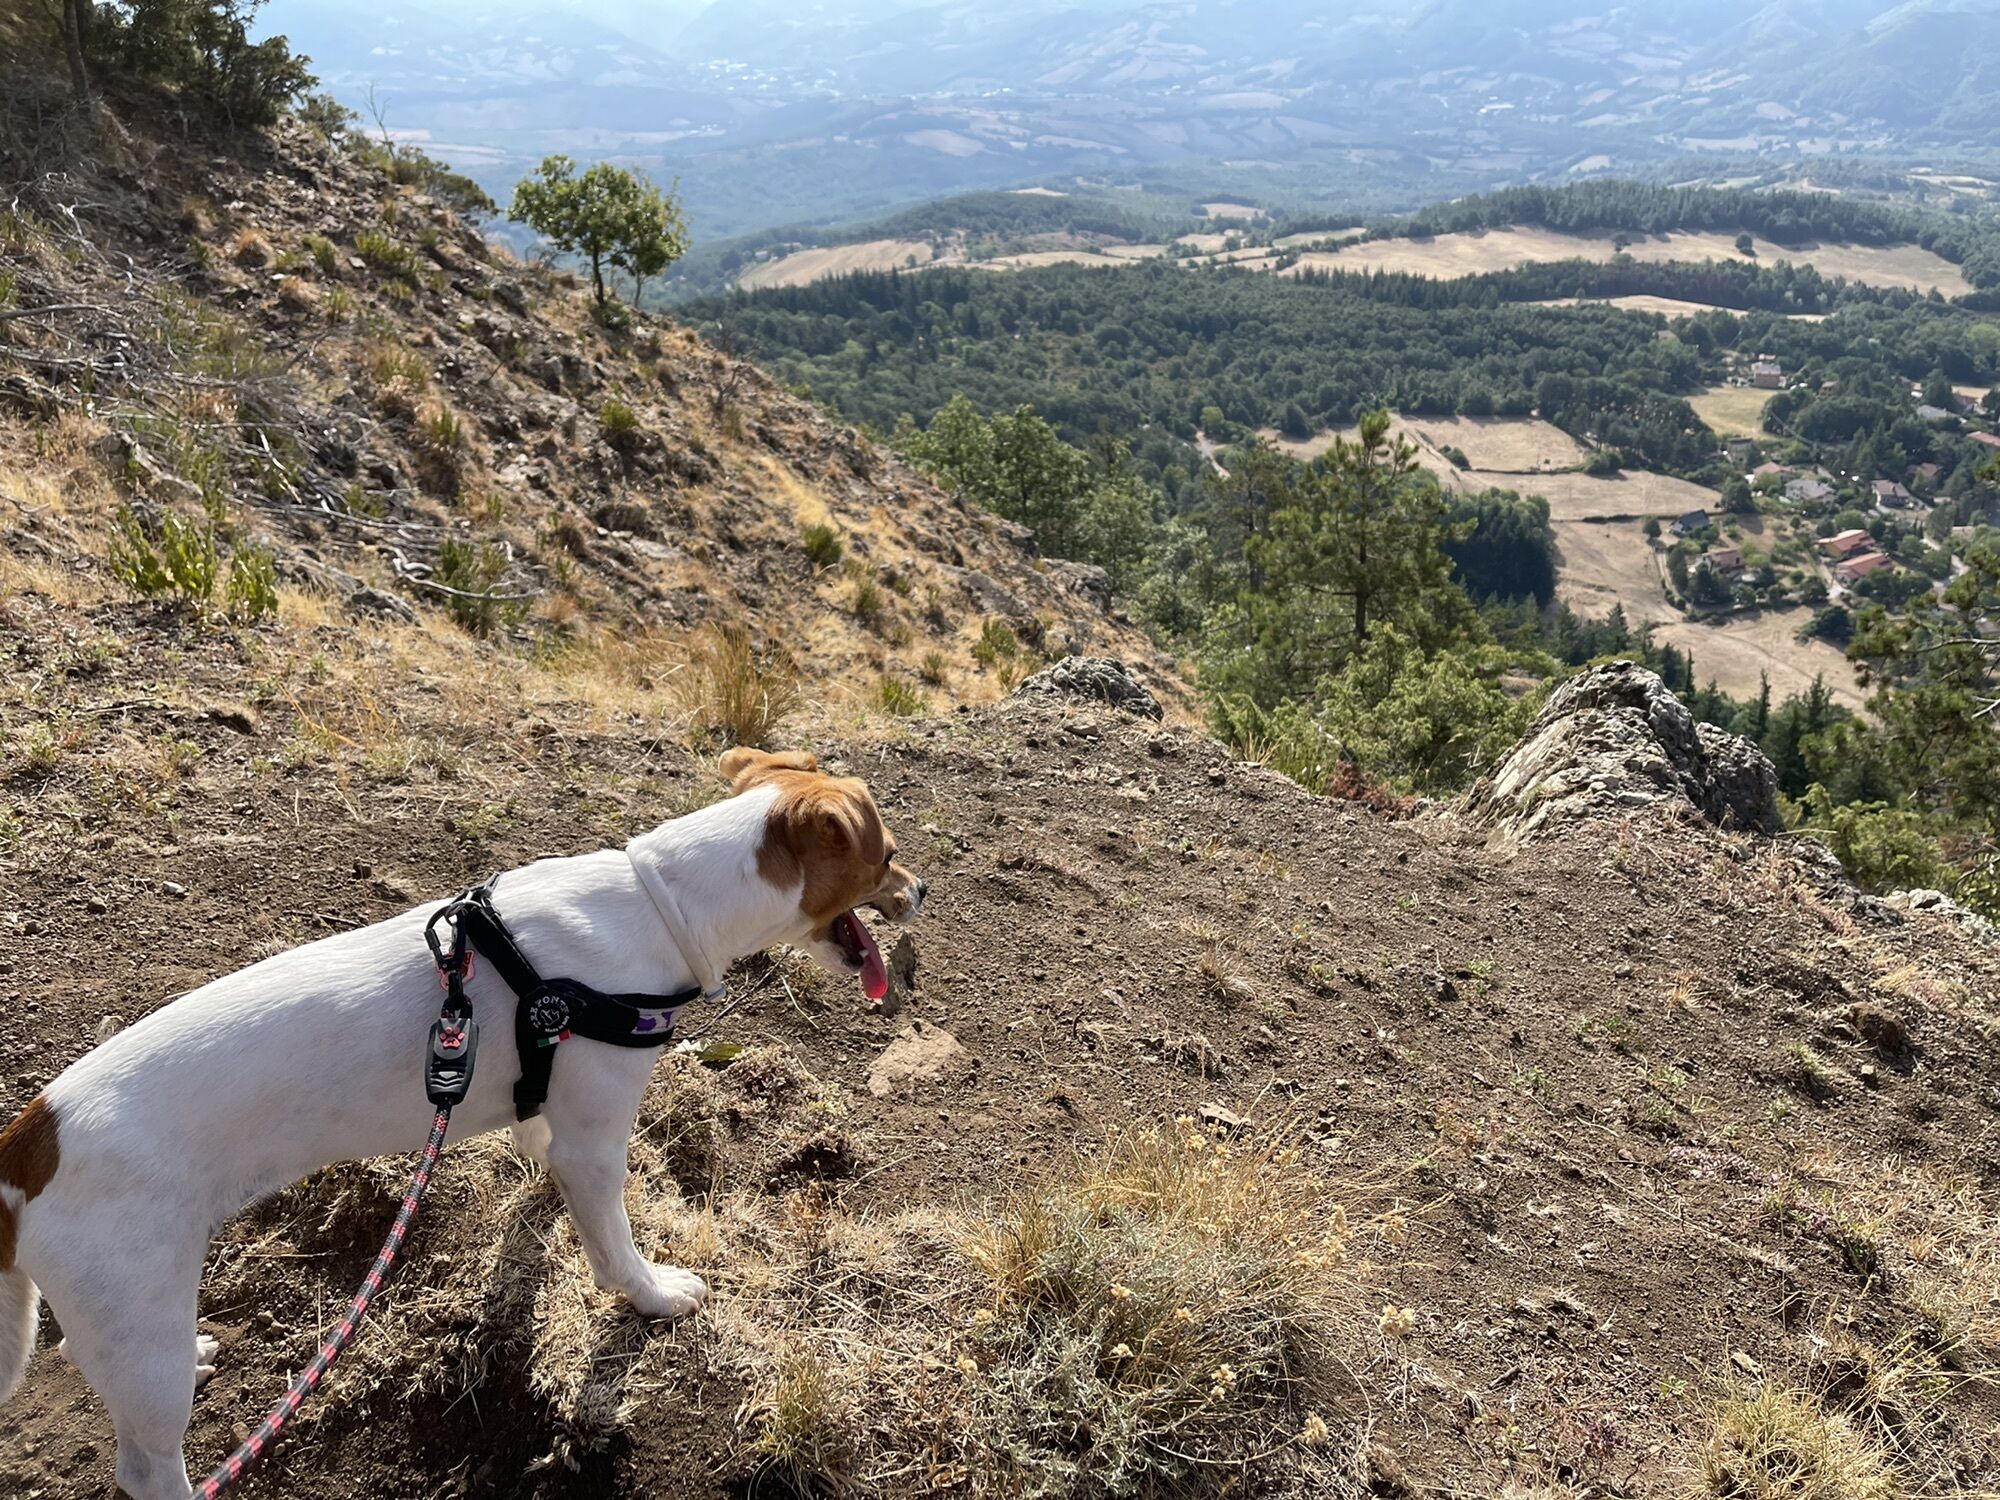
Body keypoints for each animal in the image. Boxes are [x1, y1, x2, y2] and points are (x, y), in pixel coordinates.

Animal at [0, 747, 924, 1500]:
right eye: (886, 857)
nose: (925, 889)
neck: (661, 903)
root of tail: (25, 1146)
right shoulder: (597, 1139)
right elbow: (616, 1248)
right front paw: (654, 1295)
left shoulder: (555, 1114)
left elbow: (545, 1163)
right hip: (139, 1321)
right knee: (146, 1468)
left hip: (133, 1321)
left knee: (91, 1361)